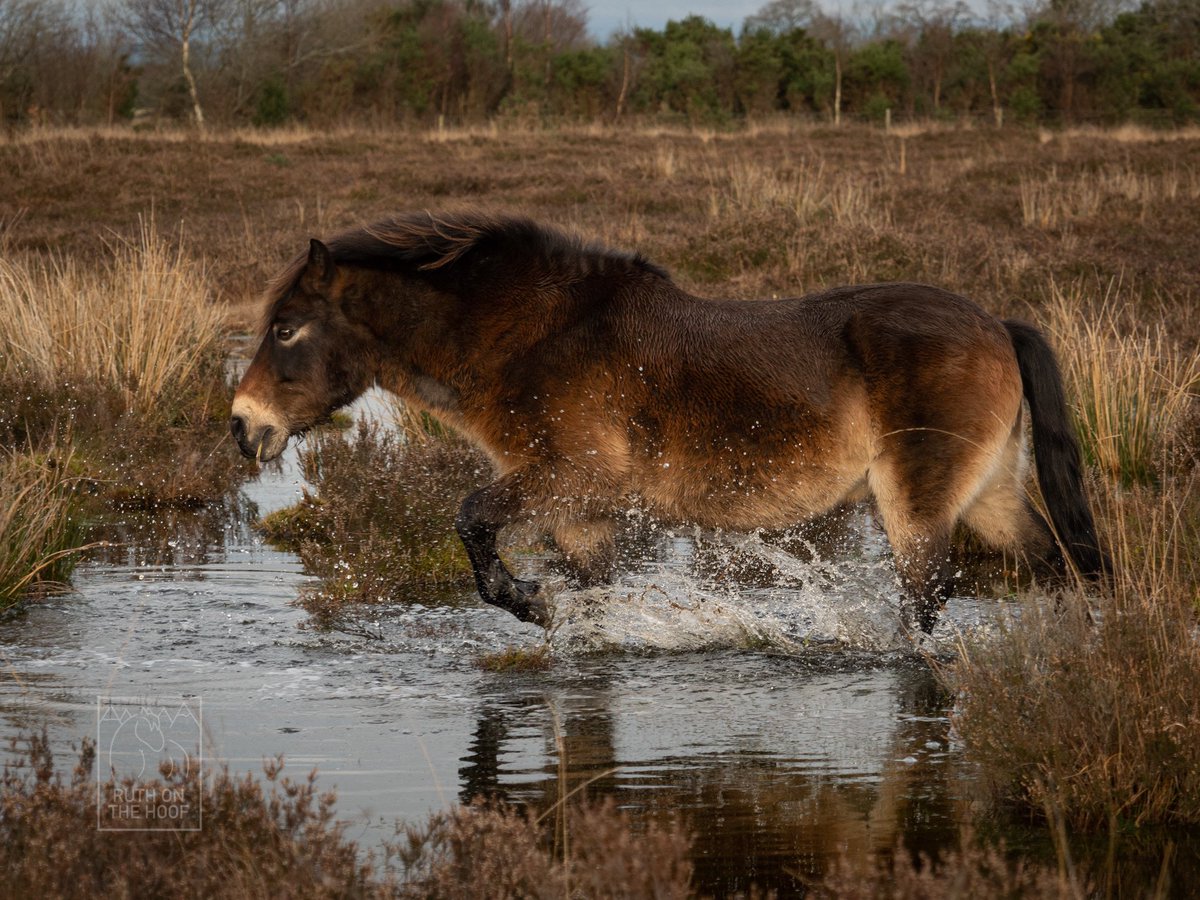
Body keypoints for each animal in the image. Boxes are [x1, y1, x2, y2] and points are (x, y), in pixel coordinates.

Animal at [231, 211, 1104, 633]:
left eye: (287, 329)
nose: (243, 425)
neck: (535, 339)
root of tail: (995, 324)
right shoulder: (582, 514)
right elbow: (591, 599)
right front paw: (558, 619)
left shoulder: (571, 479)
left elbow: (471, 518)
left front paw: (529, 601)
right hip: (991, 496)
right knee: (1059, 566)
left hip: (916, 507)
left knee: (927, 603)